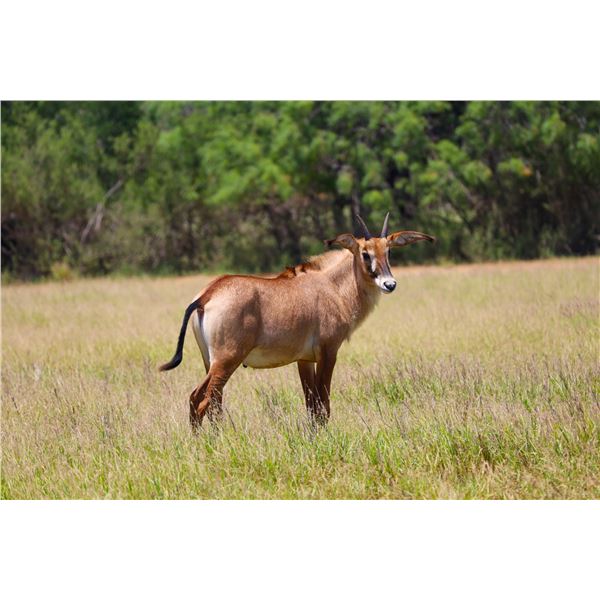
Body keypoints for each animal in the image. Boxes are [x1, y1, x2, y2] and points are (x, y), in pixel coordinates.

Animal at [159, 213, 435, 429]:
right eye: (365, 254)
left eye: (388, 252)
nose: (389, 284)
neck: (332, 286)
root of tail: (207, 294)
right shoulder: (328, 352)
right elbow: (323, 405)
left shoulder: (304, 360)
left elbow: (311, 405)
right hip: (227, 360)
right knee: (203, 400)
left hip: (211, 361)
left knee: (207, 400)